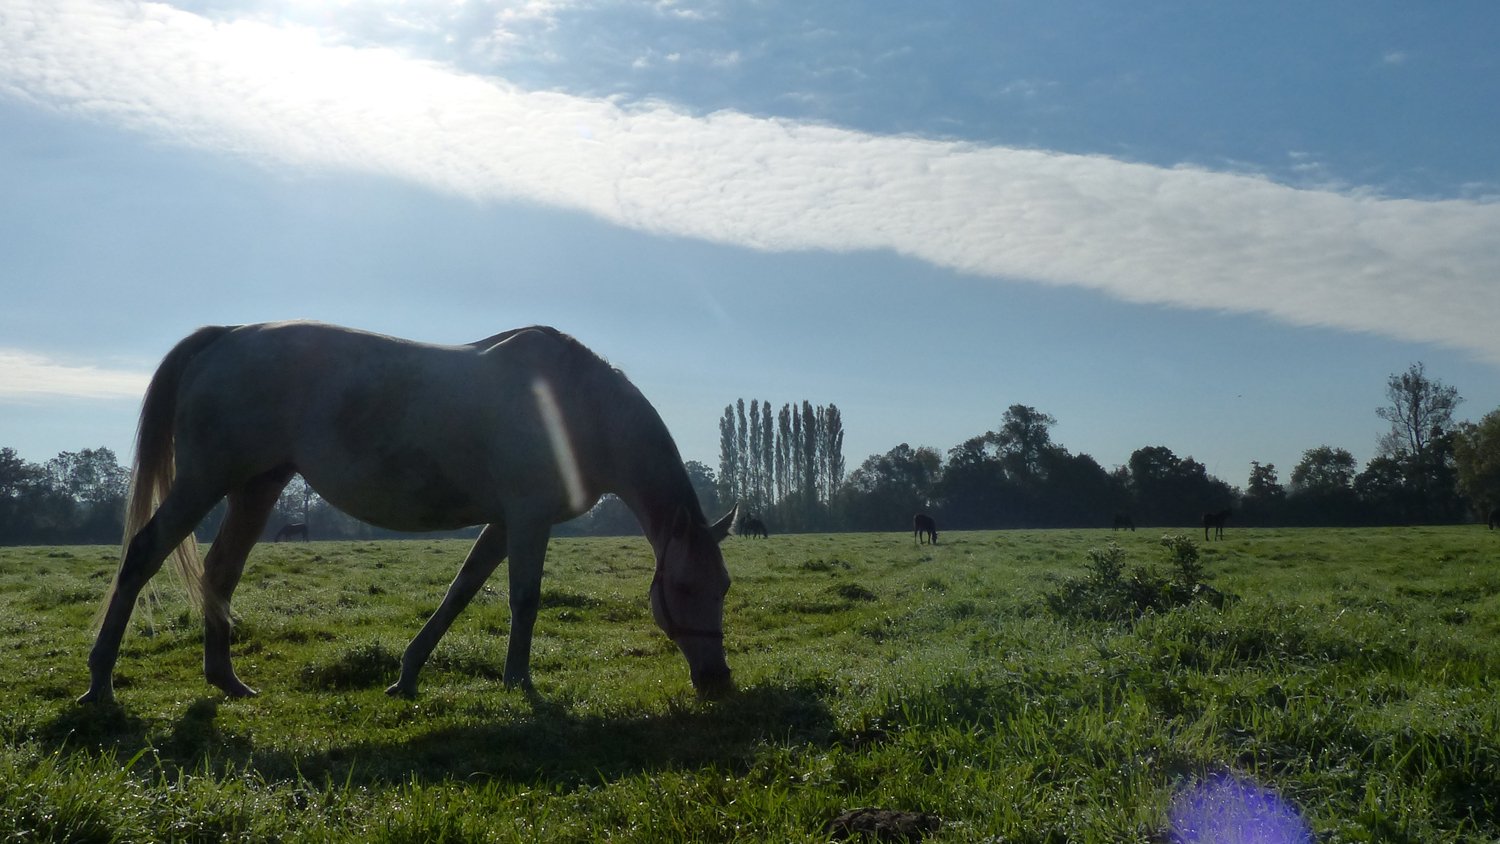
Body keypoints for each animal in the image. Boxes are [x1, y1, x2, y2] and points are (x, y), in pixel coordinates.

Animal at [79, 321, 737, 705]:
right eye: (683, 588)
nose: (717, 680)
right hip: (205, 482)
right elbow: (524, 599)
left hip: (255, 488)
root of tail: (225, 335)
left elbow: (461, 590)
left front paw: (408, 673)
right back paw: (99, 683)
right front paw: (519, 682)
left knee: (220, 573)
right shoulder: (528, 517)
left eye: (724, 588)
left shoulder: (505, 522)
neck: (578, 403)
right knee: (143, 555)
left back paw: (227, 680)